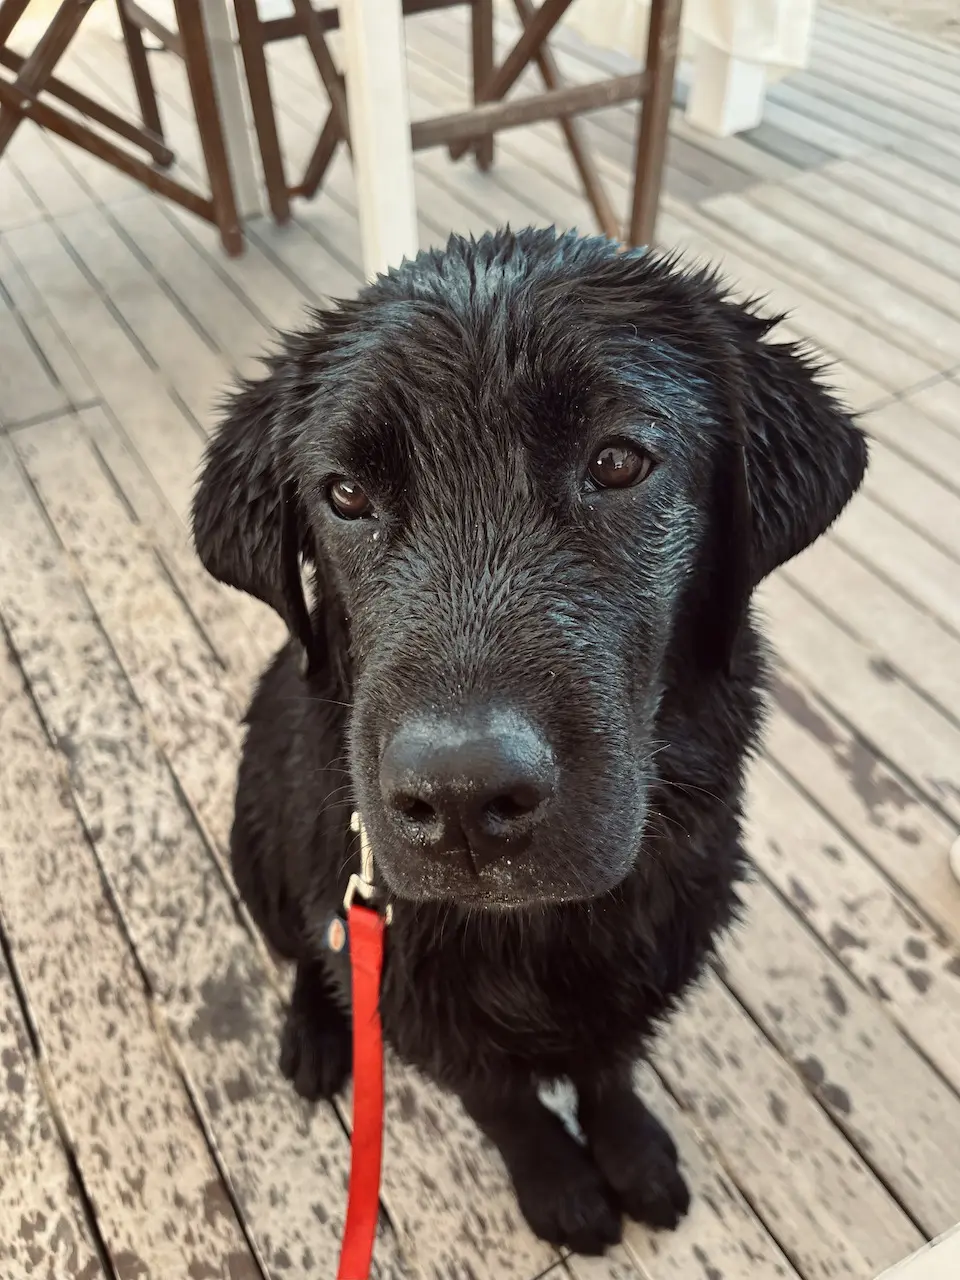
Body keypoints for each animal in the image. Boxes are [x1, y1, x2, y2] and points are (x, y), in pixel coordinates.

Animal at [192, 225, 870, 1254]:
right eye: (345, 494)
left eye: (619, 461)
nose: (464, 799)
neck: (536, 929)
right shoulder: (411, 991)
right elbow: (501, 1099)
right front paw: (560, 1186)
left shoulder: (666, 934)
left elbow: (610, 1062)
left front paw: (631, 1154)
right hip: (257, 851)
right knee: (308, 954)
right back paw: (314, 1034)